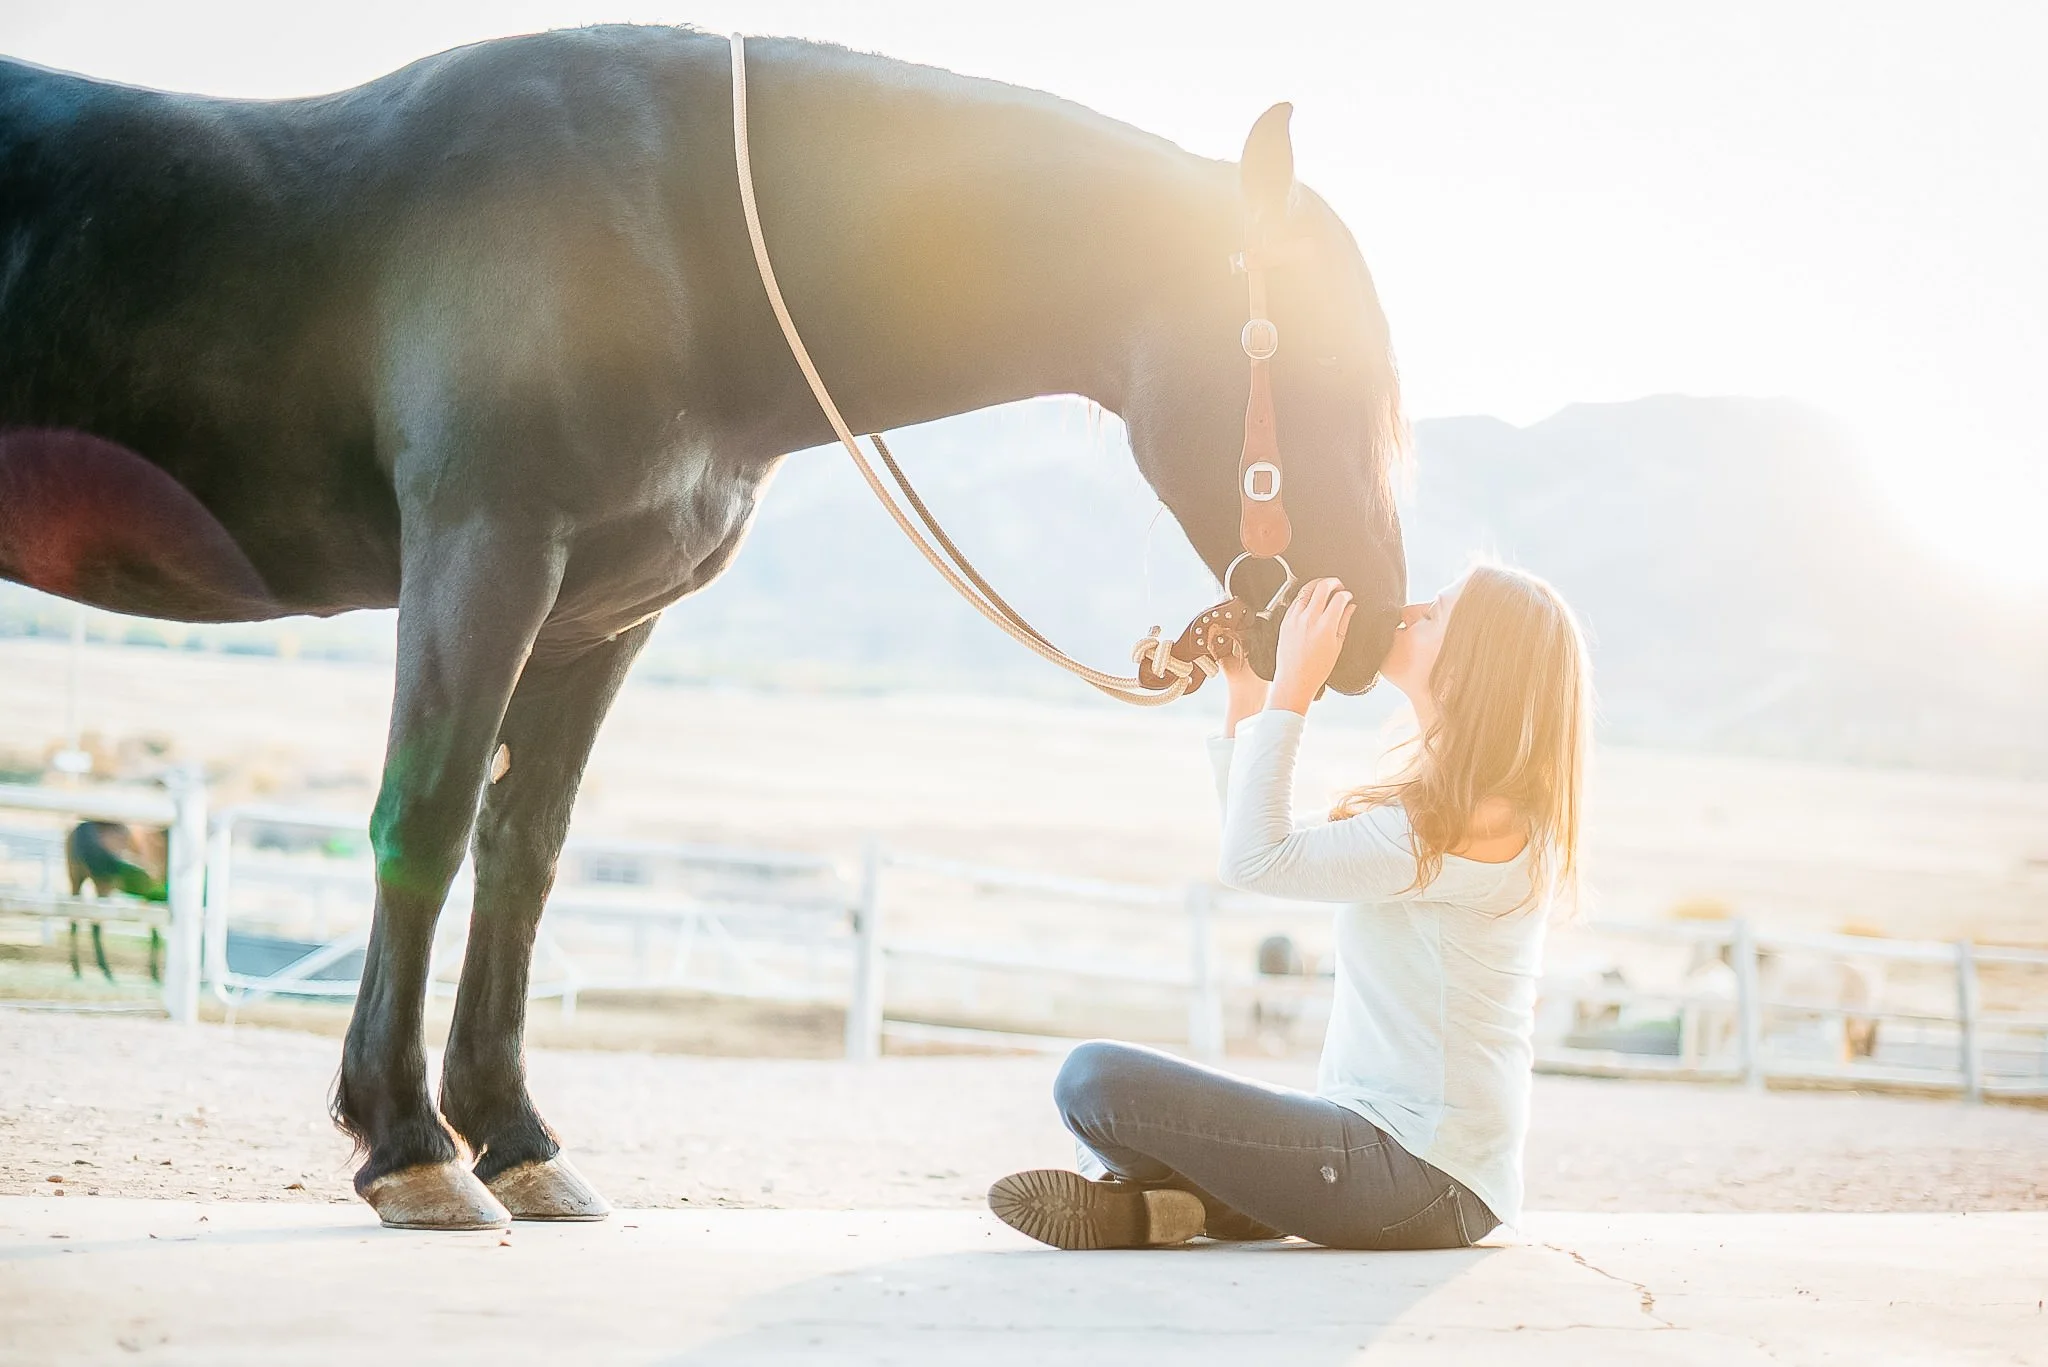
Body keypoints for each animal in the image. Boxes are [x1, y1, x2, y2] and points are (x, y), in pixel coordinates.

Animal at [65, 820, 168, 982]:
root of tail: (85, 825)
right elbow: (156, 933)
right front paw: (155, 975)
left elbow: (154, 933)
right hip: (103, 887)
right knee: (95, 925)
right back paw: (106, 971)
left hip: (76, 881)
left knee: (74, 920)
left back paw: (77, 969)